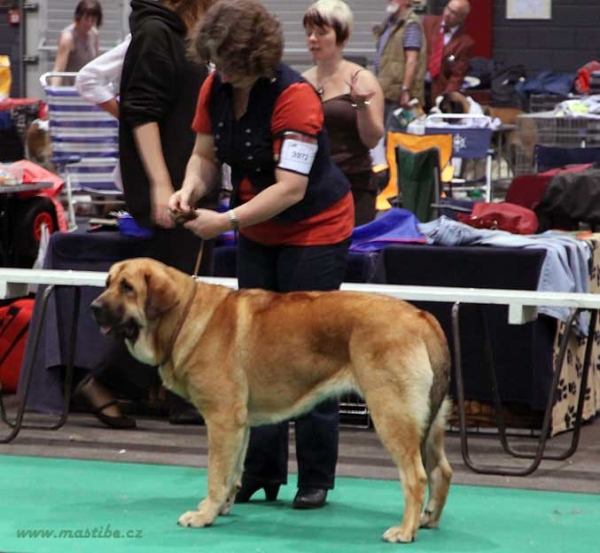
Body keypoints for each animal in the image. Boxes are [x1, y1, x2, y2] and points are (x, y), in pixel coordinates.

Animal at [91, 258, 452, 544]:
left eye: (127, 287)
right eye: (107, 283)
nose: (94, 307)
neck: (183, 316)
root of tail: (422, 316)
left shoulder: (221, 420)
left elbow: (215, 474)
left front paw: (204, 515)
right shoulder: (238, 424)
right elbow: (232, 471)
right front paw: (222, 507)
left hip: (392, 414)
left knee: (416, 476)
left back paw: (405, 531)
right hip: (428, 422)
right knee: (442, 471)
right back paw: (429, 519)